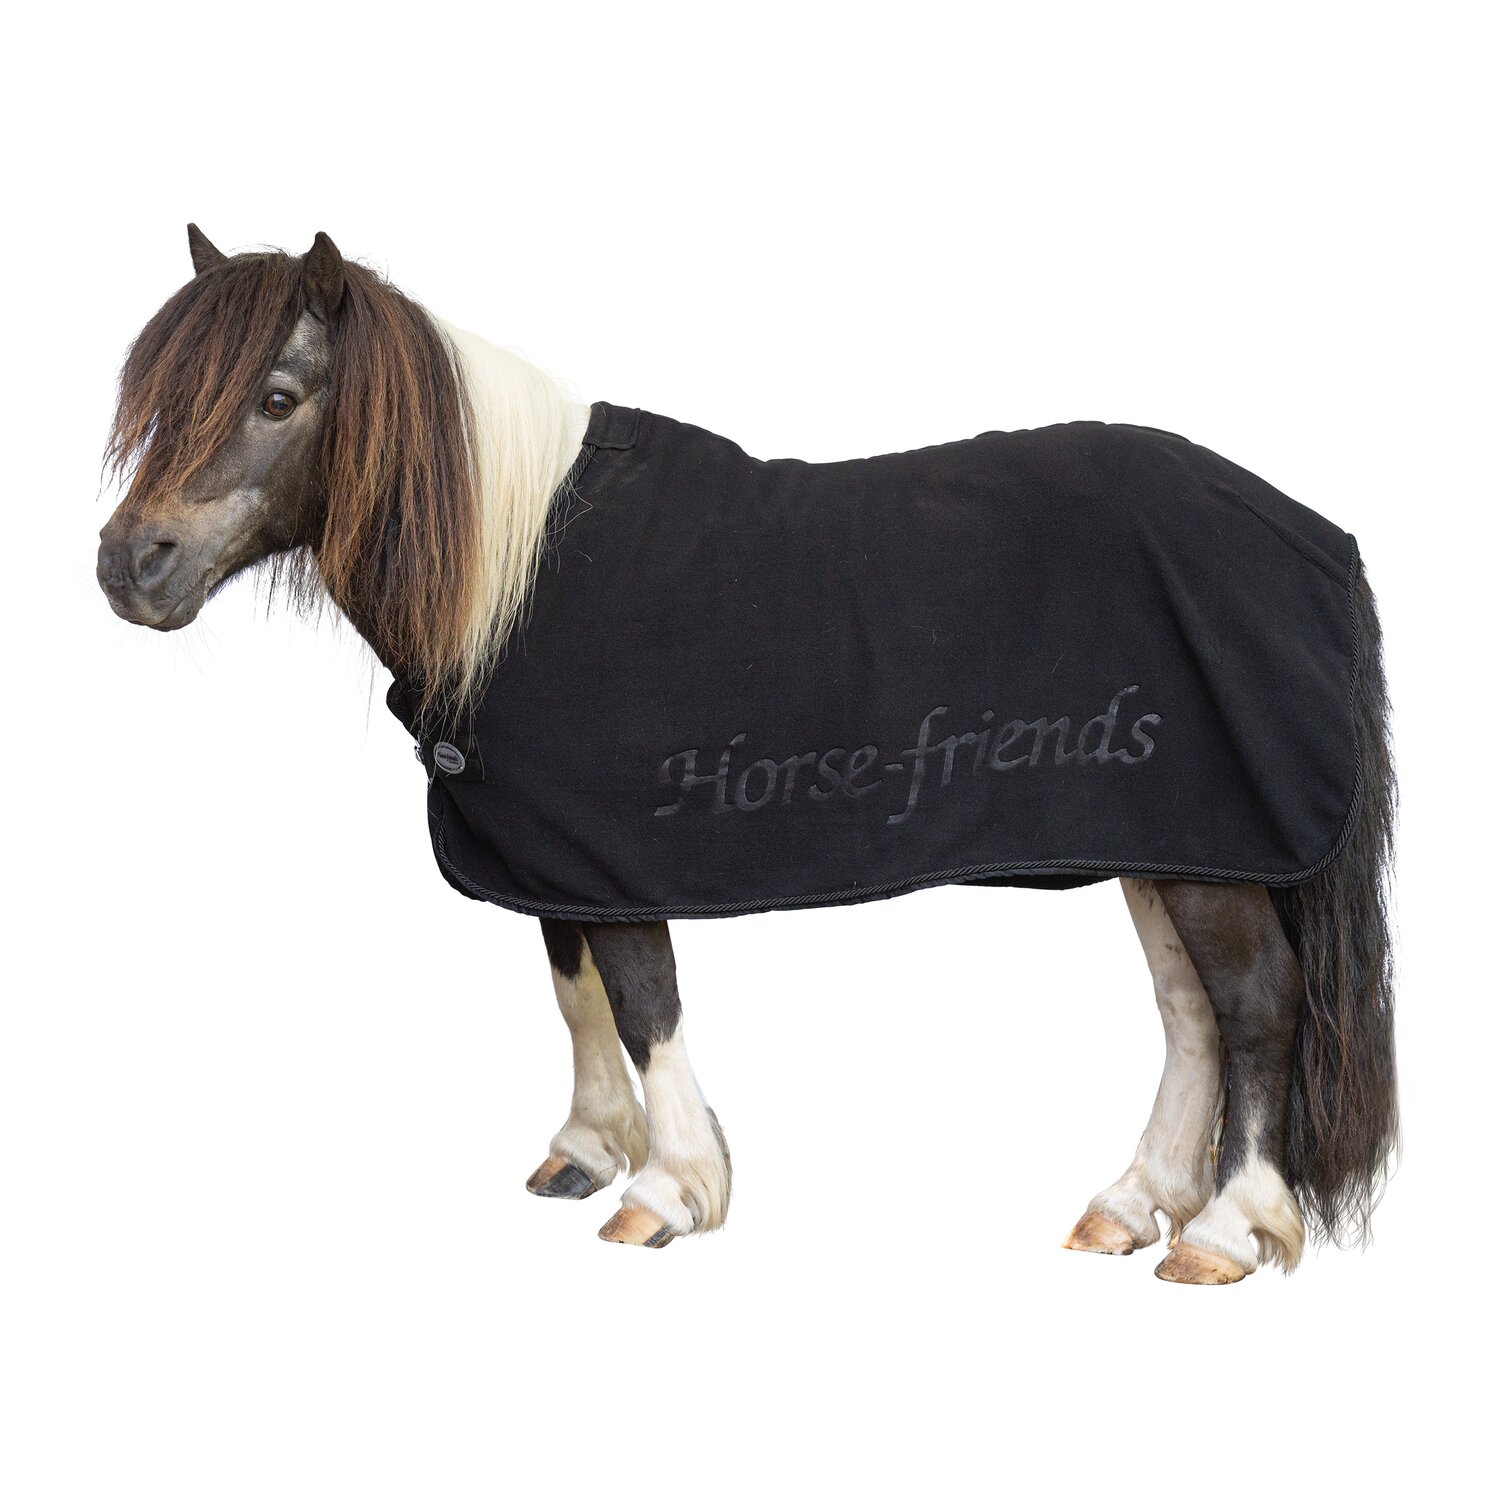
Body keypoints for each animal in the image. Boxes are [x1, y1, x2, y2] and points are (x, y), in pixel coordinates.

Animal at [96, 226, 1398, 1281]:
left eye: (277, 395)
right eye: (158, 398)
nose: (129, 566)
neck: (514, 569)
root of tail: (1315, 537)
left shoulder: (610, 850)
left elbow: (642, 999)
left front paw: (669, 1191)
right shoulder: (548, 850)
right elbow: (572, 988)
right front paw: (585, 1151)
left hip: (1208, 849)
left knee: (1255, 1004)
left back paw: (1223, 1233)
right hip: (1166, 836)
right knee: (1191, 1013)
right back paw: (1131, 1206)